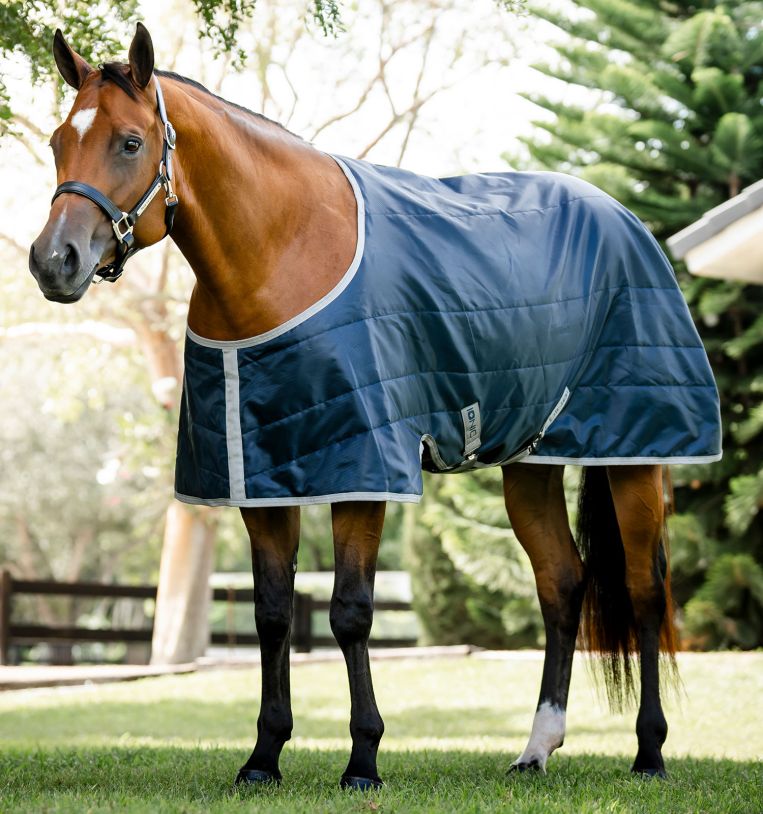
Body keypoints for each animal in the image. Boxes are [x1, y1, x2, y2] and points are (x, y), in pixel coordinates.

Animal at [29, 24, 721, 789]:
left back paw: (650, 751)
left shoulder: (362, 470)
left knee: (642, 588)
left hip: (635, 457)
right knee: (562, 583)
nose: (53, 260)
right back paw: (536, 747)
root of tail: (627, 222)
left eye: (129, 142)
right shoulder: (261, 478)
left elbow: (350, 613)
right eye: (59, 141)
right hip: (529, 464)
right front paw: (263, 757)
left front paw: (362, 759)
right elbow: (274, 615)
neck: (281, 251)